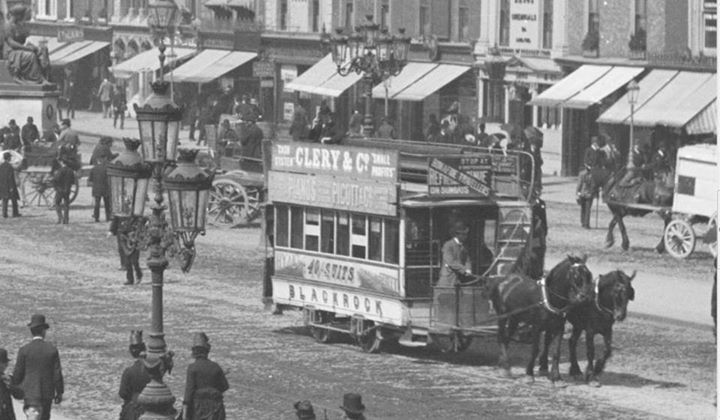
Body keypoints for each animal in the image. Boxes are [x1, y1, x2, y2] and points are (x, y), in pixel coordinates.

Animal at [490, 254, 596, 386]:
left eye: (589, 275)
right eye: (576, 275)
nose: (586, 298)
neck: (549, 298)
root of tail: (503, 280)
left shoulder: (559, 328)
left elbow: (556, 352)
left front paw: (557, 377)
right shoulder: (536, 327)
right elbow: (535, 350)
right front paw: (529, 374)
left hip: (515, 319)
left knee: (506, 339)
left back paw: (502, 366)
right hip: (503, 316)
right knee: (501, 337)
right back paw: (505, 369)